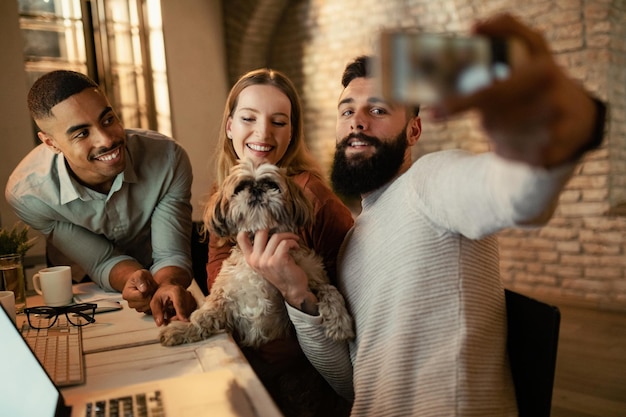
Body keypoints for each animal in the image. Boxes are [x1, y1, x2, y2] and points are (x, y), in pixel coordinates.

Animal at [158, 159, 354, 348]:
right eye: (240, 188)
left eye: (271, 184)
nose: (256, 189)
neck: (261, 242)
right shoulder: (225, 294)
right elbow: (205, 315)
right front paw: (183, 329)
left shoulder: (313, 276)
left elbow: (330, 290)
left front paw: (339, 321)